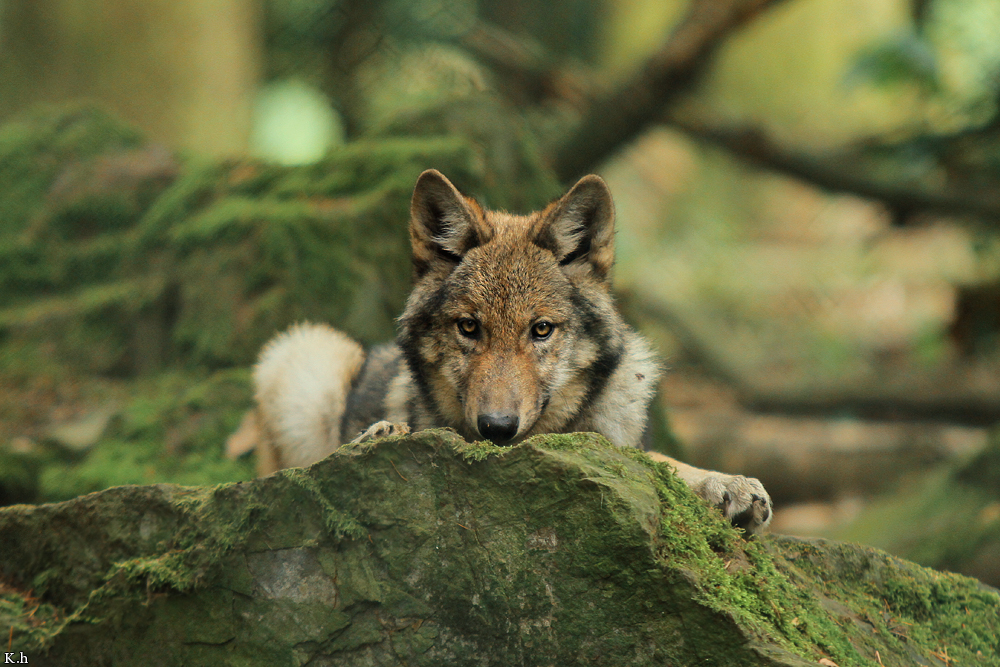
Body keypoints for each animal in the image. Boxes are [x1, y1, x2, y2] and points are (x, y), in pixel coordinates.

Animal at [232, 170, 772, 536]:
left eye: (541, 330)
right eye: (469, 327)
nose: (496, 428)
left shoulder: (615, 442)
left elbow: (659, 460)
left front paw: (725, 485)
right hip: (306, 354)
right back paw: (376, 435)